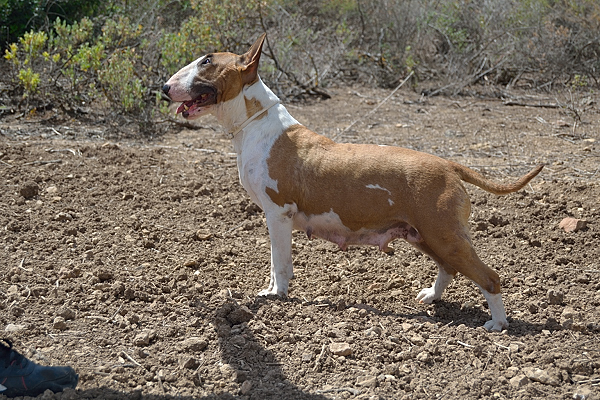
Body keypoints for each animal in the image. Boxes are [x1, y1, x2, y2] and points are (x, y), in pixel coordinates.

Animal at [164, 34, 544, 332]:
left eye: (207, 61)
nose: (164, 88)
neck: (257, 124)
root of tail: (450, 165)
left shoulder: (278, 214)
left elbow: (279, 263)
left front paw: (275, 294)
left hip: (443, 234)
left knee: (489, 277)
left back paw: (497, 323)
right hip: (424, 234)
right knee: (448, 268)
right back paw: (431, 296)